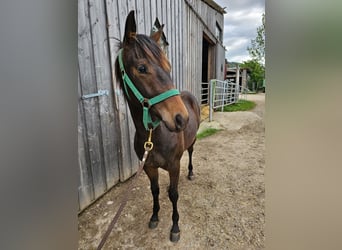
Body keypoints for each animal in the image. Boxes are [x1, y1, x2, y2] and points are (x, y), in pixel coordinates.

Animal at [115, 10, 200, 241]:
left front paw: (175, 227)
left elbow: (173, 194)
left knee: (191, 153)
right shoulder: (149, 167)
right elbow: (155, 191)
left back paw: (191, 173)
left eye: (168, 67)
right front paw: (154, 217)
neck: (154, 136)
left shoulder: (174, 166)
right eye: (142, 68)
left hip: (192, 142)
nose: (181, 118)